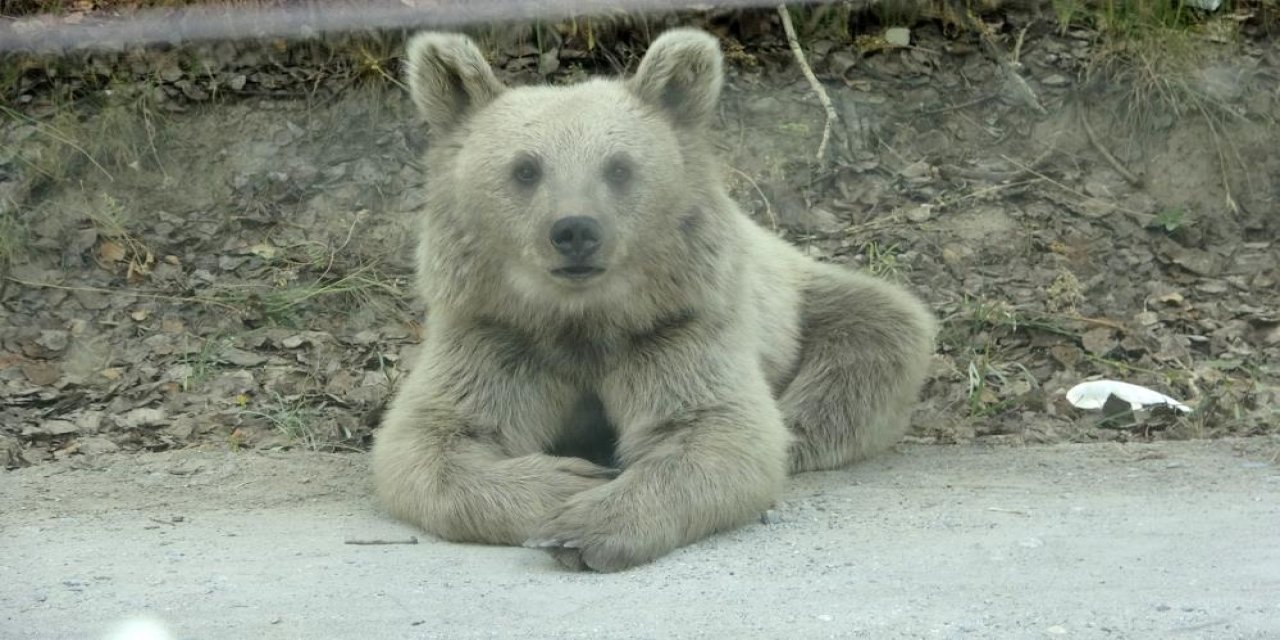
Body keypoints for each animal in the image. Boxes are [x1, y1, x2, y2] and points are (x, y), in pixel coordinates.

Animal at [371, 27, 942, 573]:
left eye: (619, 168)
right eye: (526, 169)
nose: (576, 231)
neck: (581, 317)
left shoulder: (676, 324)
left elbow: (716, 428)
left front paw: (586, 526)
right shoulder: (496, 333)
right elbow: (428, 438)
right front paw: (569, 480)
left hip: (799, 298)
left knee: (877, 332)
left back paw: (799, 427)